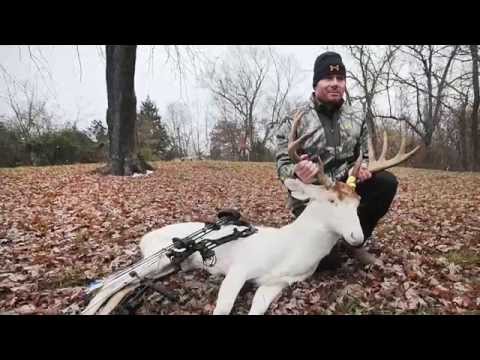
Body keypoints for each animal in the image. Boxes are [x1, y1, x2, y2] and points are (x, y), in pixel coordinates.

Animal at [83, 112, 420, 316]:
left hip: (168, 268)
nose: (356, 235)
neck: (289, 250)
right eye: (330, 200)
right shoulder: (239, 268)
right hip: (159, 258)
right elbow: (223, 308)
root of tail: (145, 237)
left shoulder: (277, 284)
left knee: (124, 284)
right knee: (113, 281)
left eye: (357, 202)